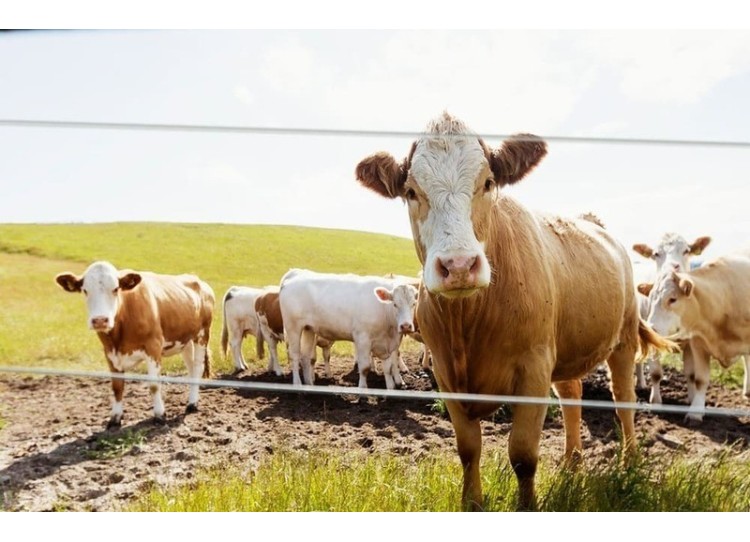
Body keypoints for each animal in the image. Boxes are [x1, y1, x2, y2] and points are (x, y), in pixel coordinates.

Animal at [55, 262, 214, 430]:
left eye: (116, 289)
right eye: (85, 290)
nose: (100, 320)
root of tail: (198, 280)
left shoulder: (153, 346)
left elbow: (154, 385)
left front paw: (159, 415)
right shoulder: (110, 353)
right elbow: (117, 387)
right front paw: (115, 418)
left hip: (202, 334)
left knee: (197, 367)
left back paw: (192, 404)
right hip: (185, 340)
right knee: (191, 369)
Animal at [280, 270, 420, 392]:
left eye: (414, 304)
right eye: (395, 304)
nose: (406, 326)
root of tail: (295, 273)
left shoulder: (387, 345)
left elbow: (389, 368)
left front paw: (390, 389)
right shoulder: (362, 338)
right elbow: (364, 367)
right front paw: (362, 389)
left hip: (308, 329)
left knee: (306, 357)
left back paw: (309, 385)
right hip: (293, 327)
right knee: (295, 355)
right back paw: (297, 384)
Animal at [354, 112, 676, 512]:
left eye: (488, 183)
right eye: (412, 191)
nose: (459, 266)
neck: (469, 323)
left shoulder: (533, 367)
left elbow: (522, 455)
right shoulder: (445, 374)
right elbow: (468, 449)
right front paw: (472, 503)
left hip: (624, 338)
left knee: (624, 401)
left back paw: (629, 463)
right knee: (572, 396)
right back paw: (572, 464)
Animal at [632, 232, 712, 402]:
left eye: (686, 251)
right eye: (656, 253)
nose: (672, 266)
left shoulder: (690, 342)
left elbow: (691, 374)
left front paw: (691, 399)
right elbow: (656, 373)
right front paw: (655, 401)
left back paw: (641, 383)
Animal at [640, 253, 750, 428]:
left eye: (672, 299)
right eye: (650, 300)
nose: (651, 329)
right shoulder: (699, 344)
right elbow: (700, 380)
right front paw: (695, 412)